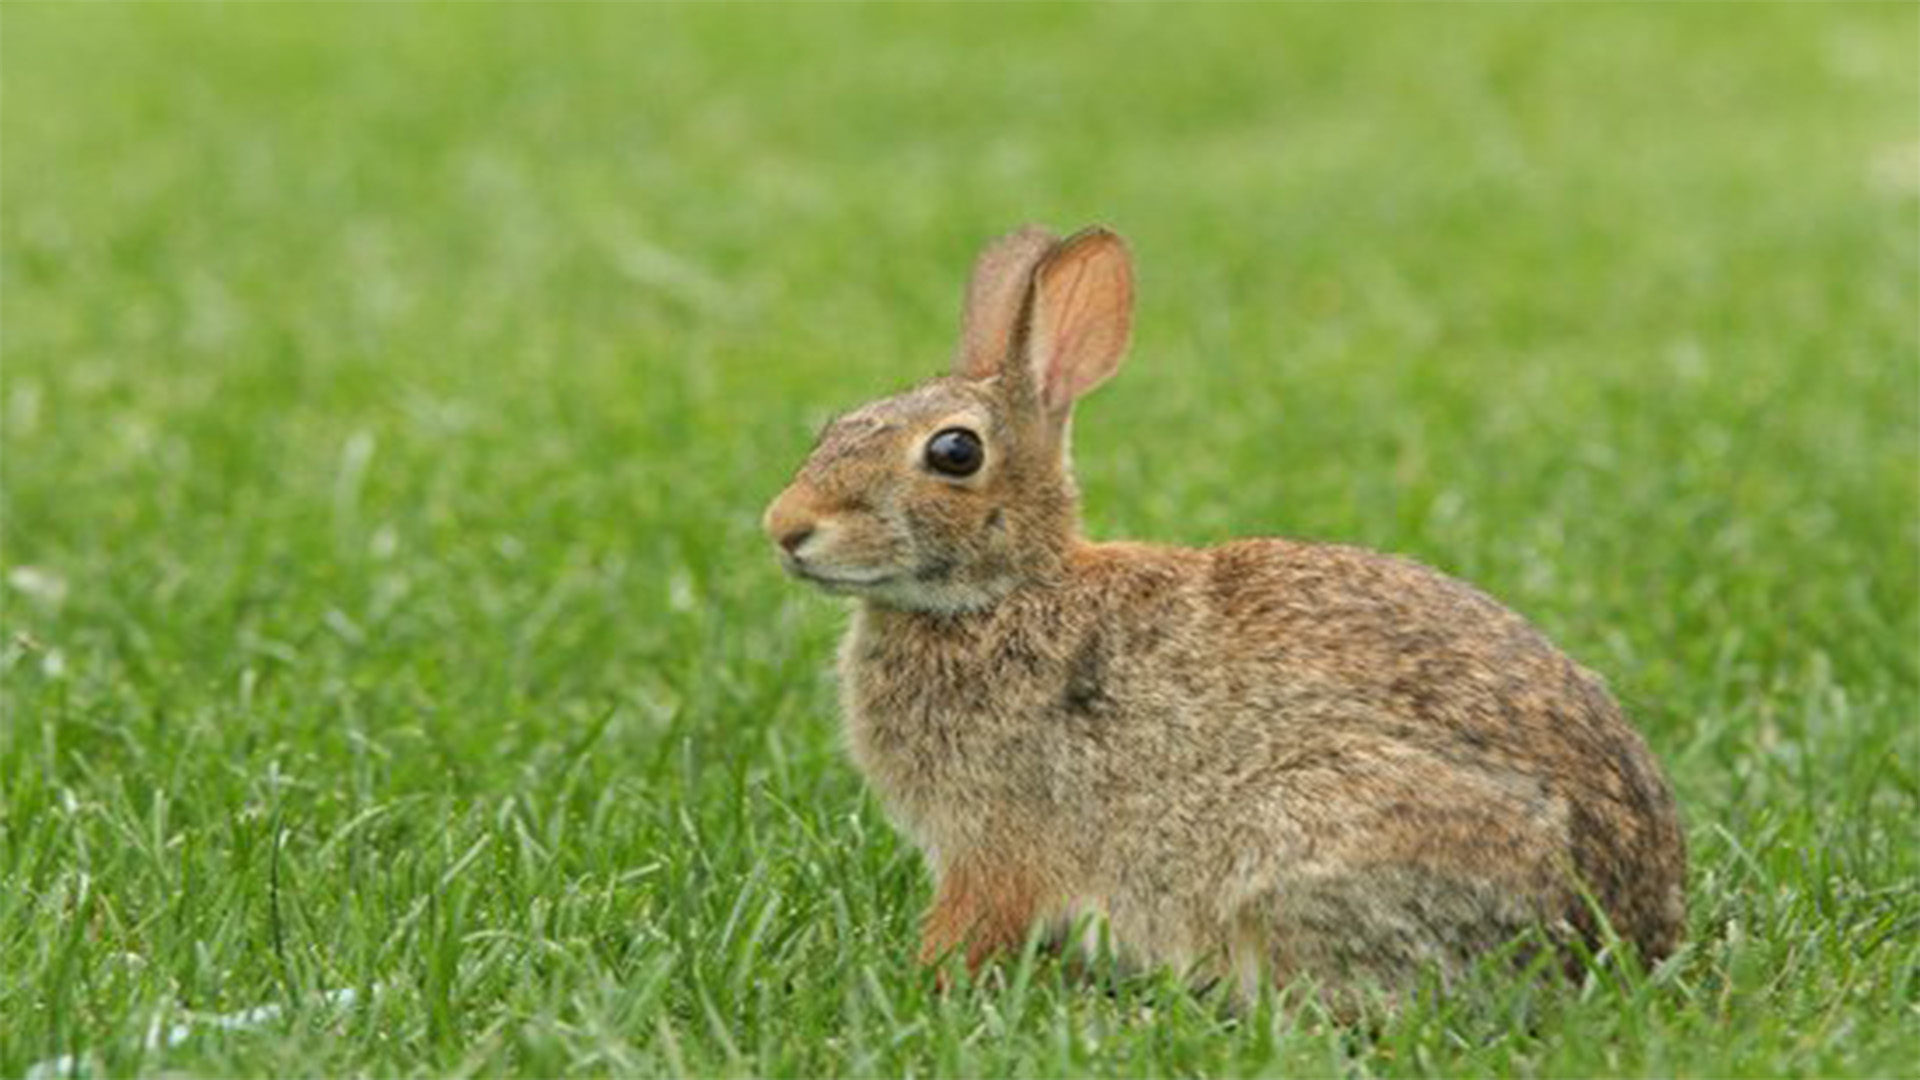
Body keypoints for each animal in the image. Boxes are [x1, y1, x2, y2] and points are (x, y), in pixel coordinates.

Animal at [756, 222, 1689, 999]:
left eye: (954, 452)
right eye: (837, 425)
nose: (784, 527)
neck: (1008, 592)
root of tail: (1627, 939)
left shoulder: (995, 839)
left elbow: (972, 921)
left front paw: (922, 977)